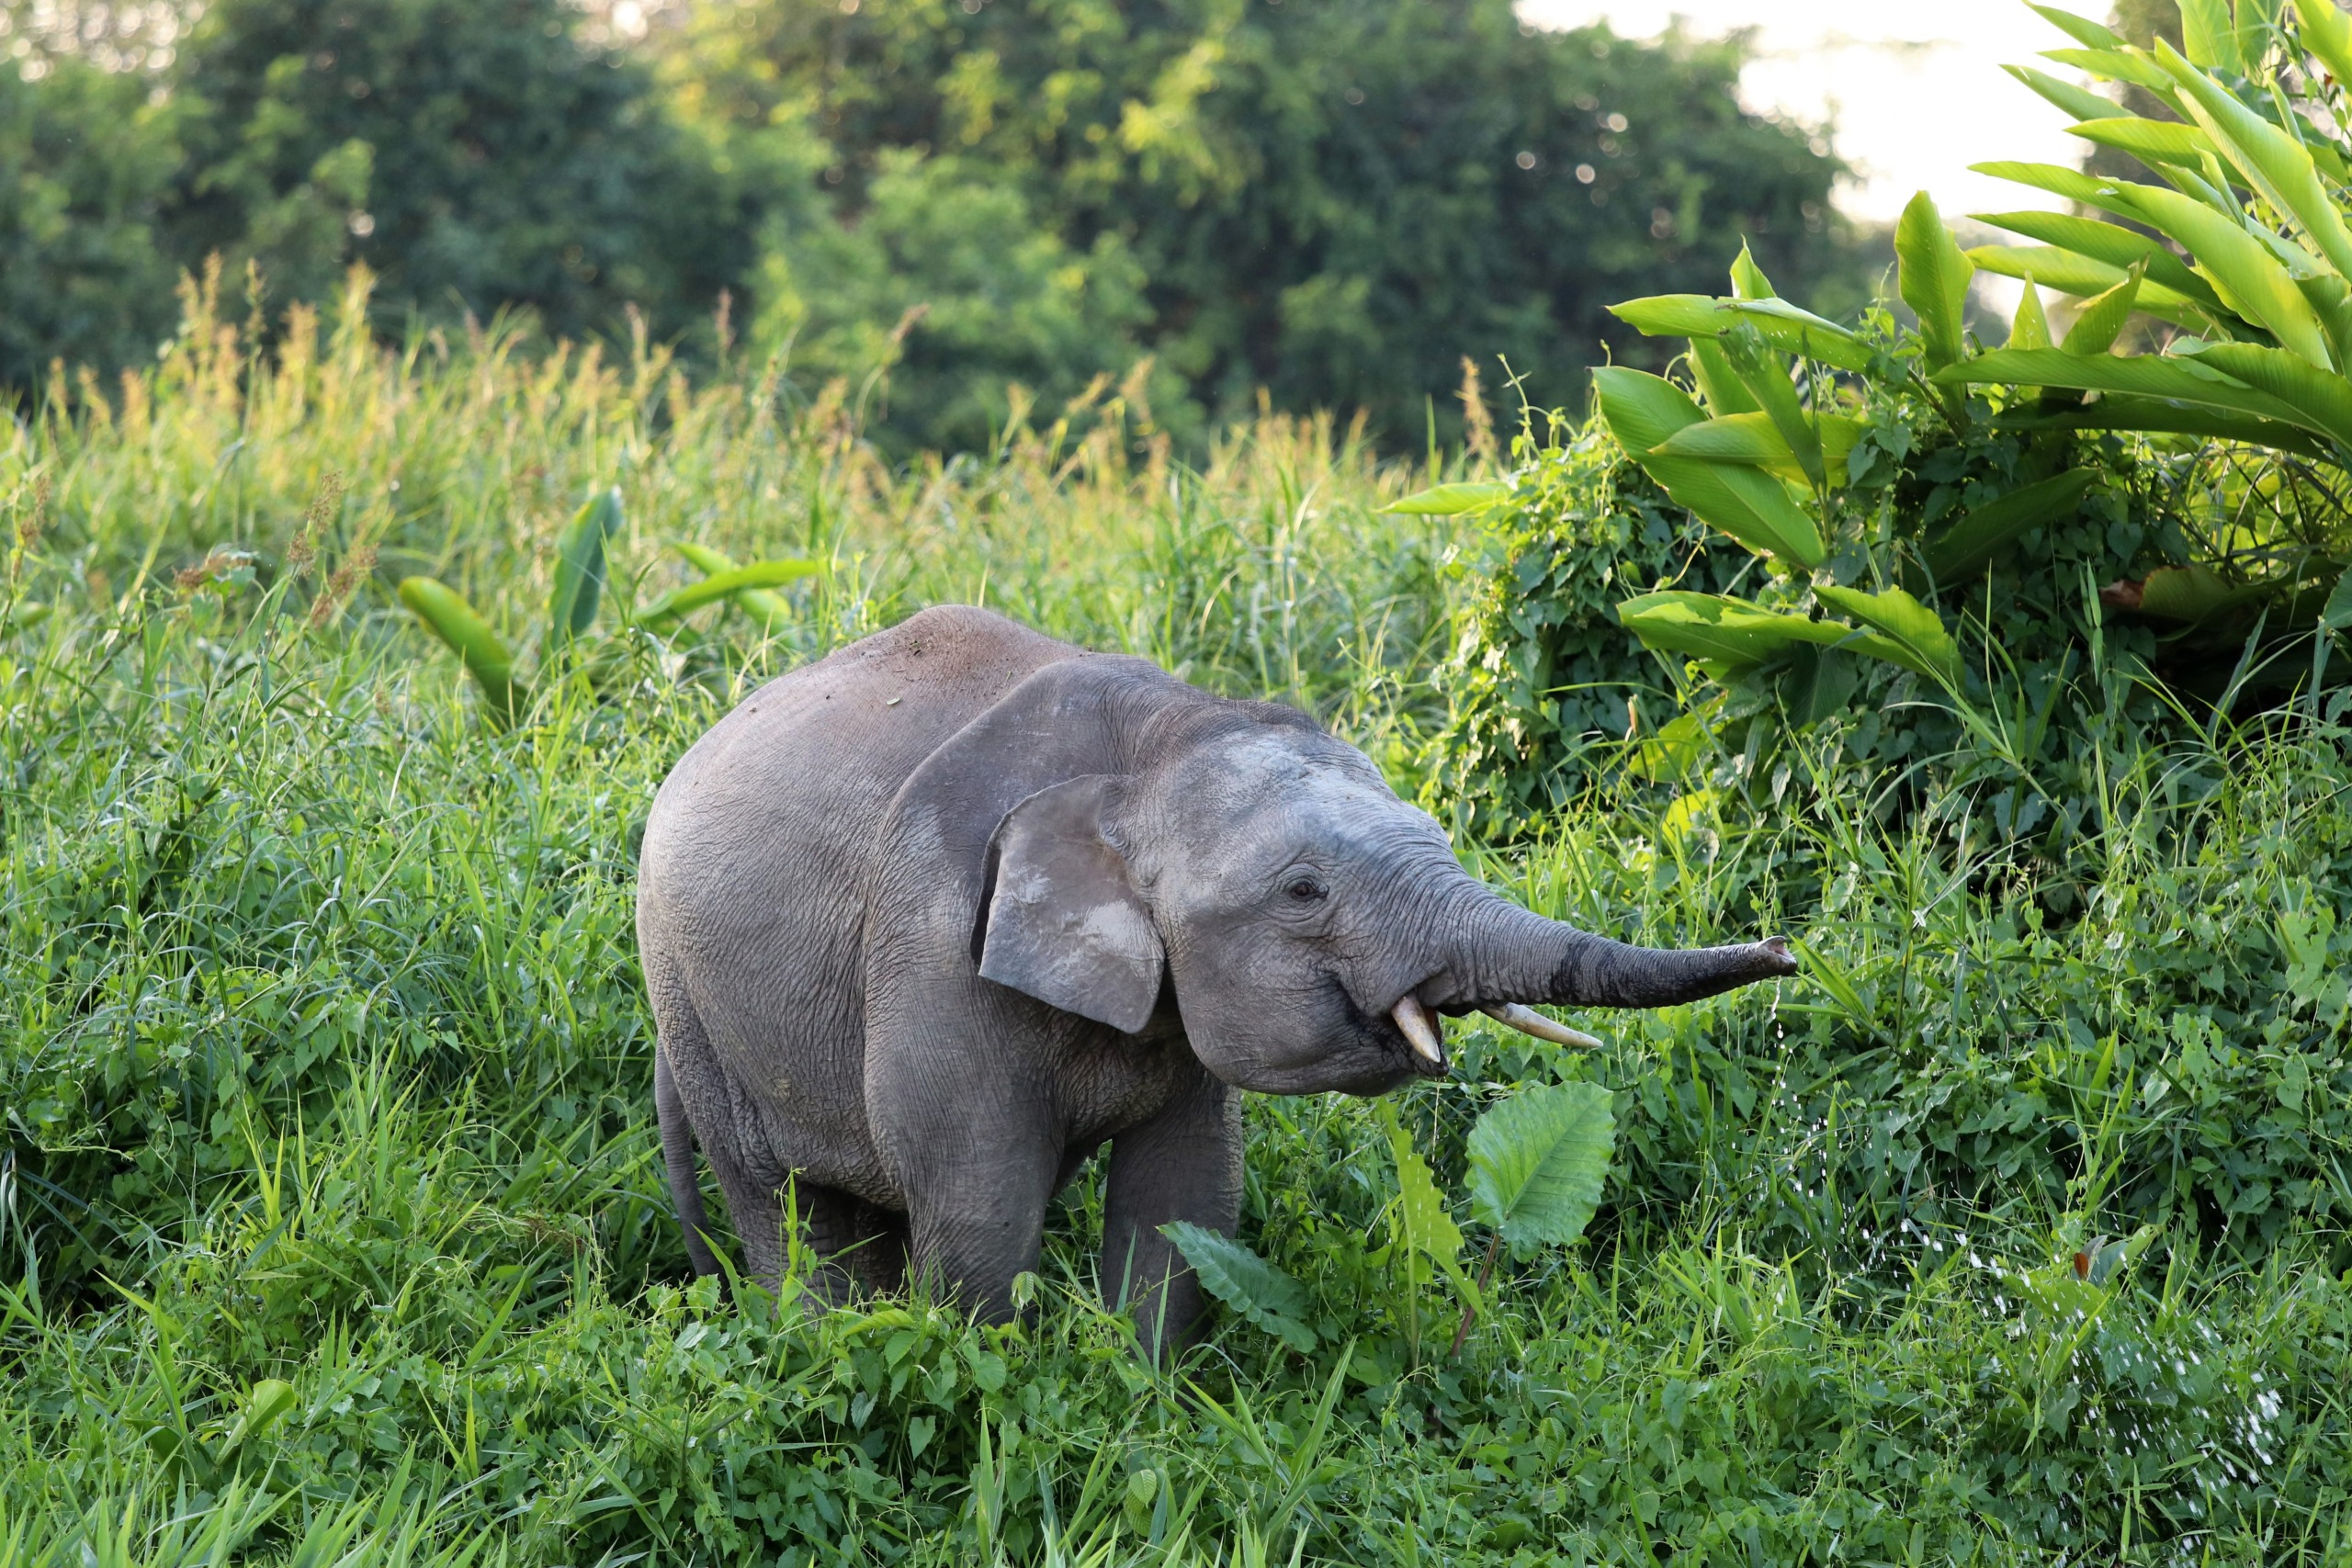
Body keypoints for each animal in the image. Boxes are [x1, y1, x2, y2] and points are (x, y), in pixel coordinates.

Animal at [635, 606, 1787, 1354]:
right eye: (1304, 890)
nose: (1783, 949)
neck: (1153, 738)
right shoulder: (932, 943)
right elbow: (977, 1202)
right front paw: (987, 1389)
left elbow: (1186, 1196)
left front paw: (1137, 1393)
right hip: (688, 1000)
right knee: (785, 1205)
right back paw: (820, 1347)